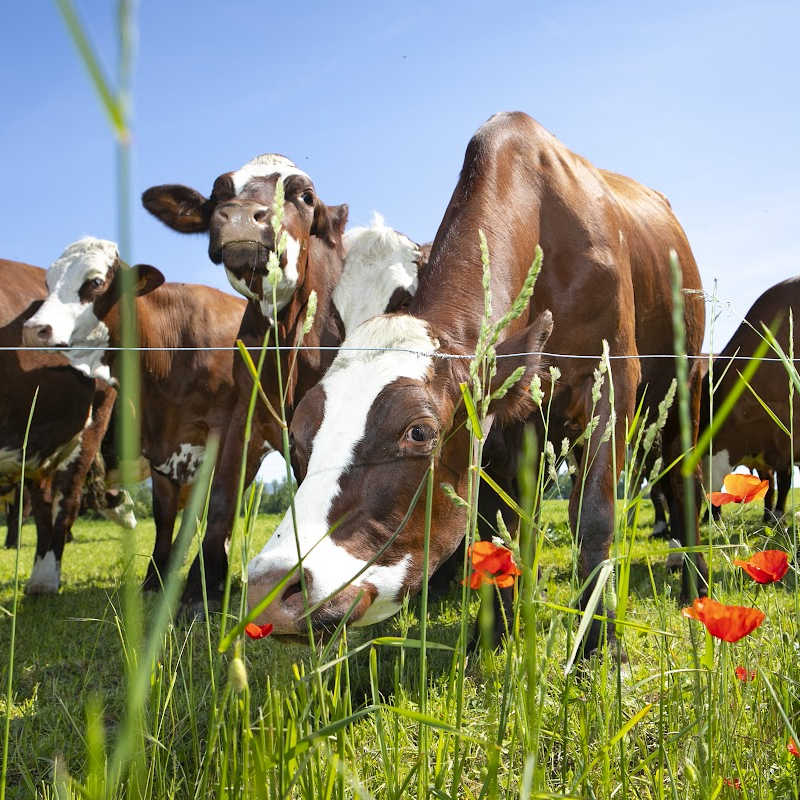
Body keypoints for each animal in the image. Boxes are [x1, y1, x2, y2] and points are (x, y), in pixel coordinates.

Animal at [245, 112, 706, 654]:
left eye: (418, 432)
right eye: (299, 439)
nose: (269, 588)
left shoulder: (611, 377)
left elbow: (593, 514)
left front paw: (599, 645)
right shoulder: (500, 425)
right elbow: (496, 527)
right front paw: (496, 637)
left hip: (684, 387)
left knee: (686, 482)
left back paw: (694, 586)